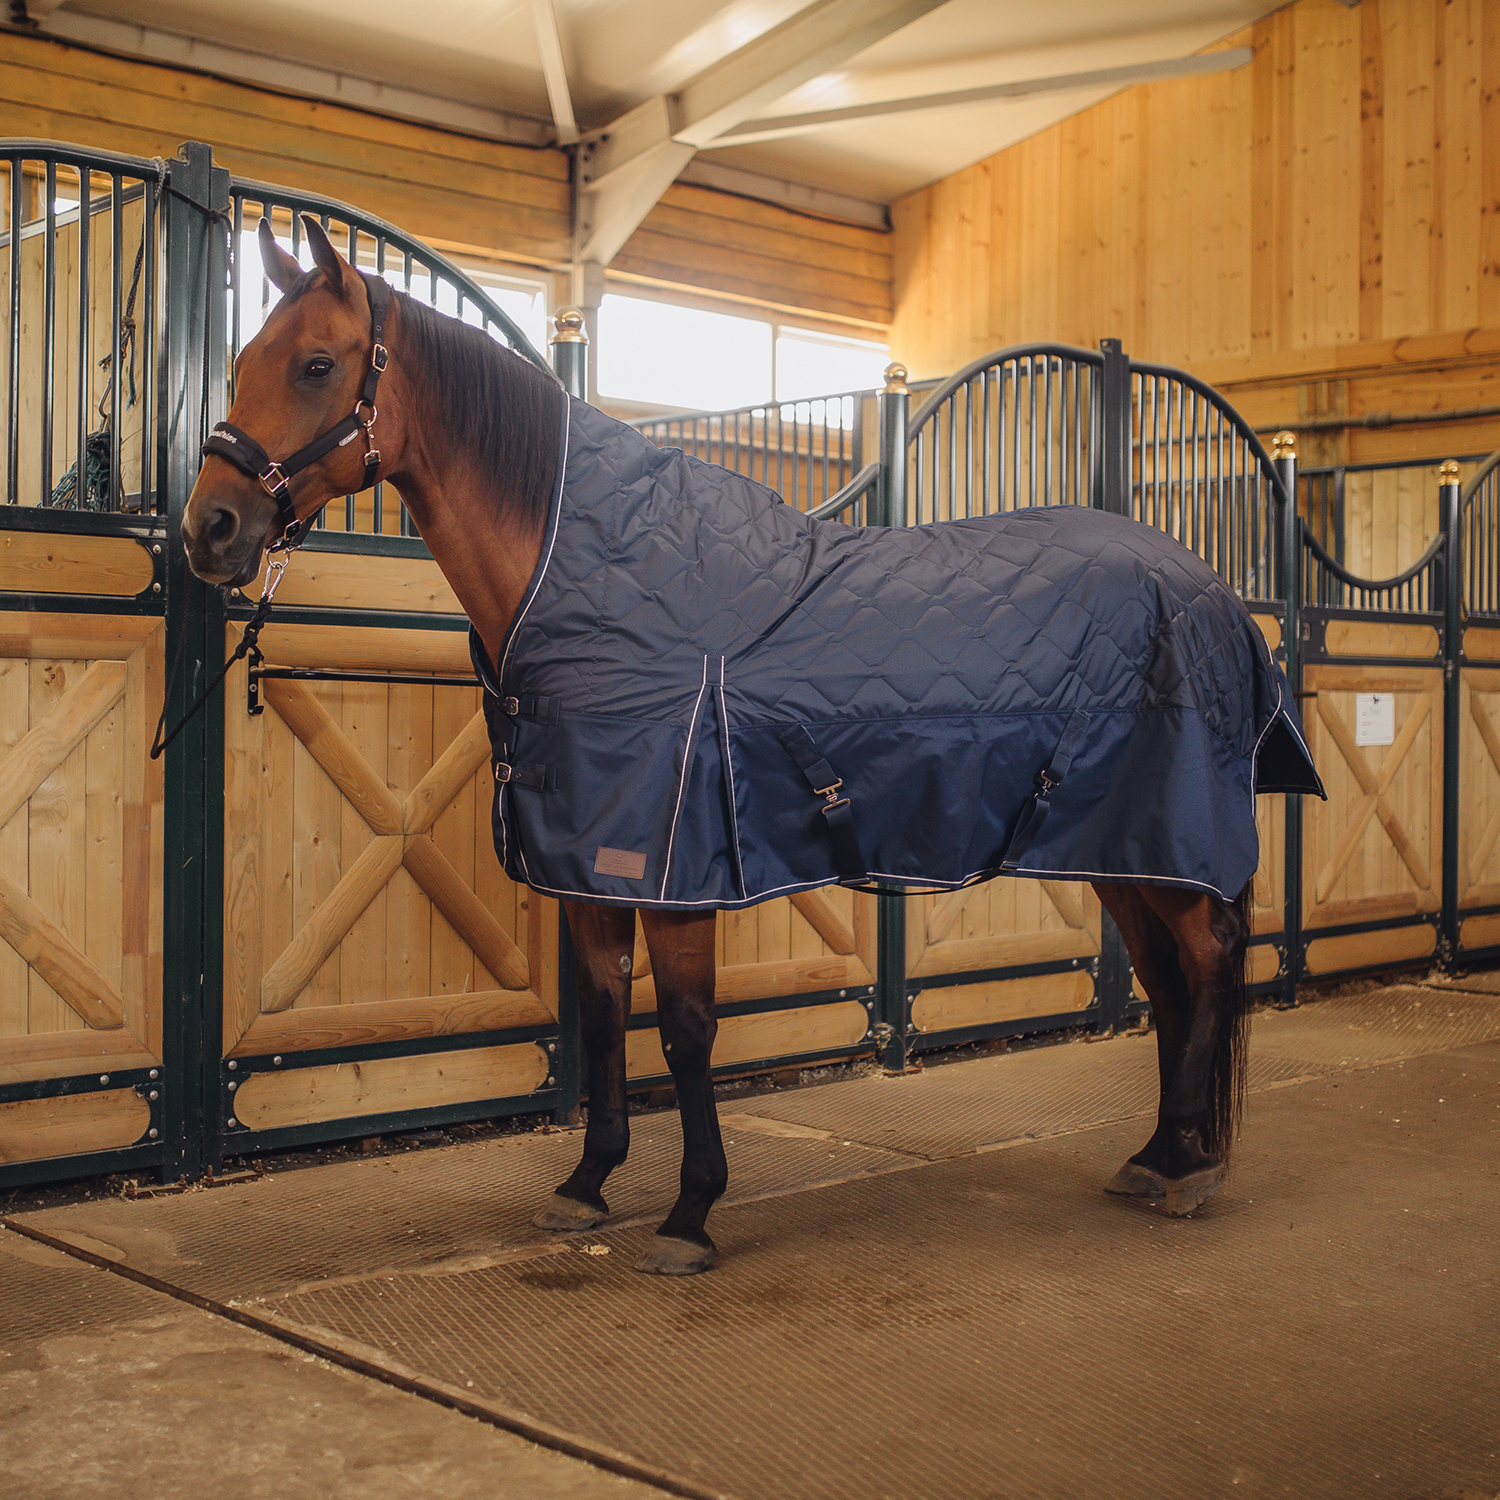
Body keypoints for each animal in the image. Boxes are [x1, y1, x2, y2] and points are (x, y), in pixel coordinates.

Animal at [183, 214, 1314, 1276]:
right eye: (239, 361)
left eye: (316, 365)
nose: (210, 529)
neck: (592, 575)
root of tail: (1211, 589)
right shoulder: (591, 864)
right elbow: (605, 1012)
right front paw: (588, 1183)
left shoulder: (675, 864)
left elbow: (685, 1031)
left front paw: (691, 1213)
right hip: (1124, 842)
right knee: (1169, 978)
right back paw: (1158, 1155)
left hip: (1164, 837)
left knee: (1209, 959)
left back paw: (1189, 1169)